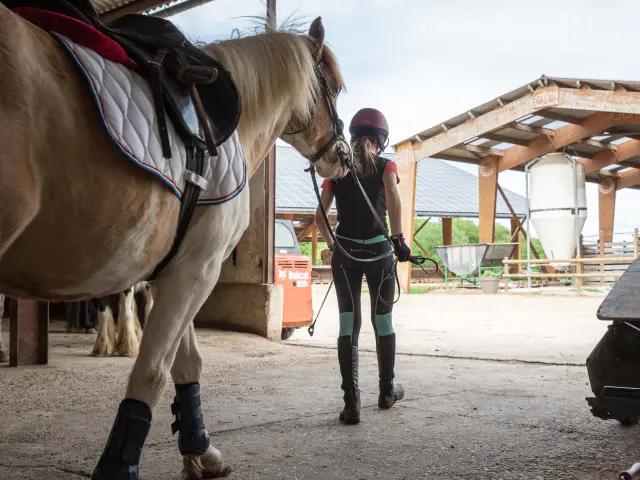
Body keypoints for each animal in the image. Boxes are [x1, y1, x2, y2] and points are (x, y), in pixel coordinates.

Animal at [0, 5, 349, 479]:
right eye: (335, 86)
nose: (345, 158)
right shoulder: (198, 269)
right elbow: (152, 371)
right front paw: (122, 466)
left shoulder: (178, 270)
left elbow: (185, 361)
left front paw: (200, 450)